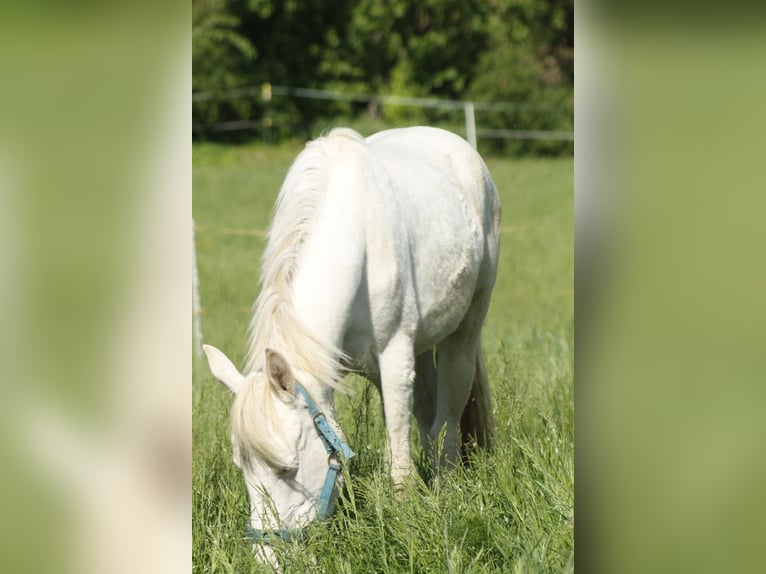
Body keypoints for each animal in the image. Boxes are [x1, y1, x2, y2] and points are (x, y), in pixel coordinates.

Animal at [204, 127, 504, 552]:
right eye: (241, 466)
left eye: (288, 469)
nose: (267, 556)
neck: (354, 237)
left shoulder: (394, 358)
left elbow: (398, 452)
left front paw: (405, 518)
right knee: (429, 417)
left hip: (463, 334)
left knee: (446, 418)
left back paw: (446, 487)